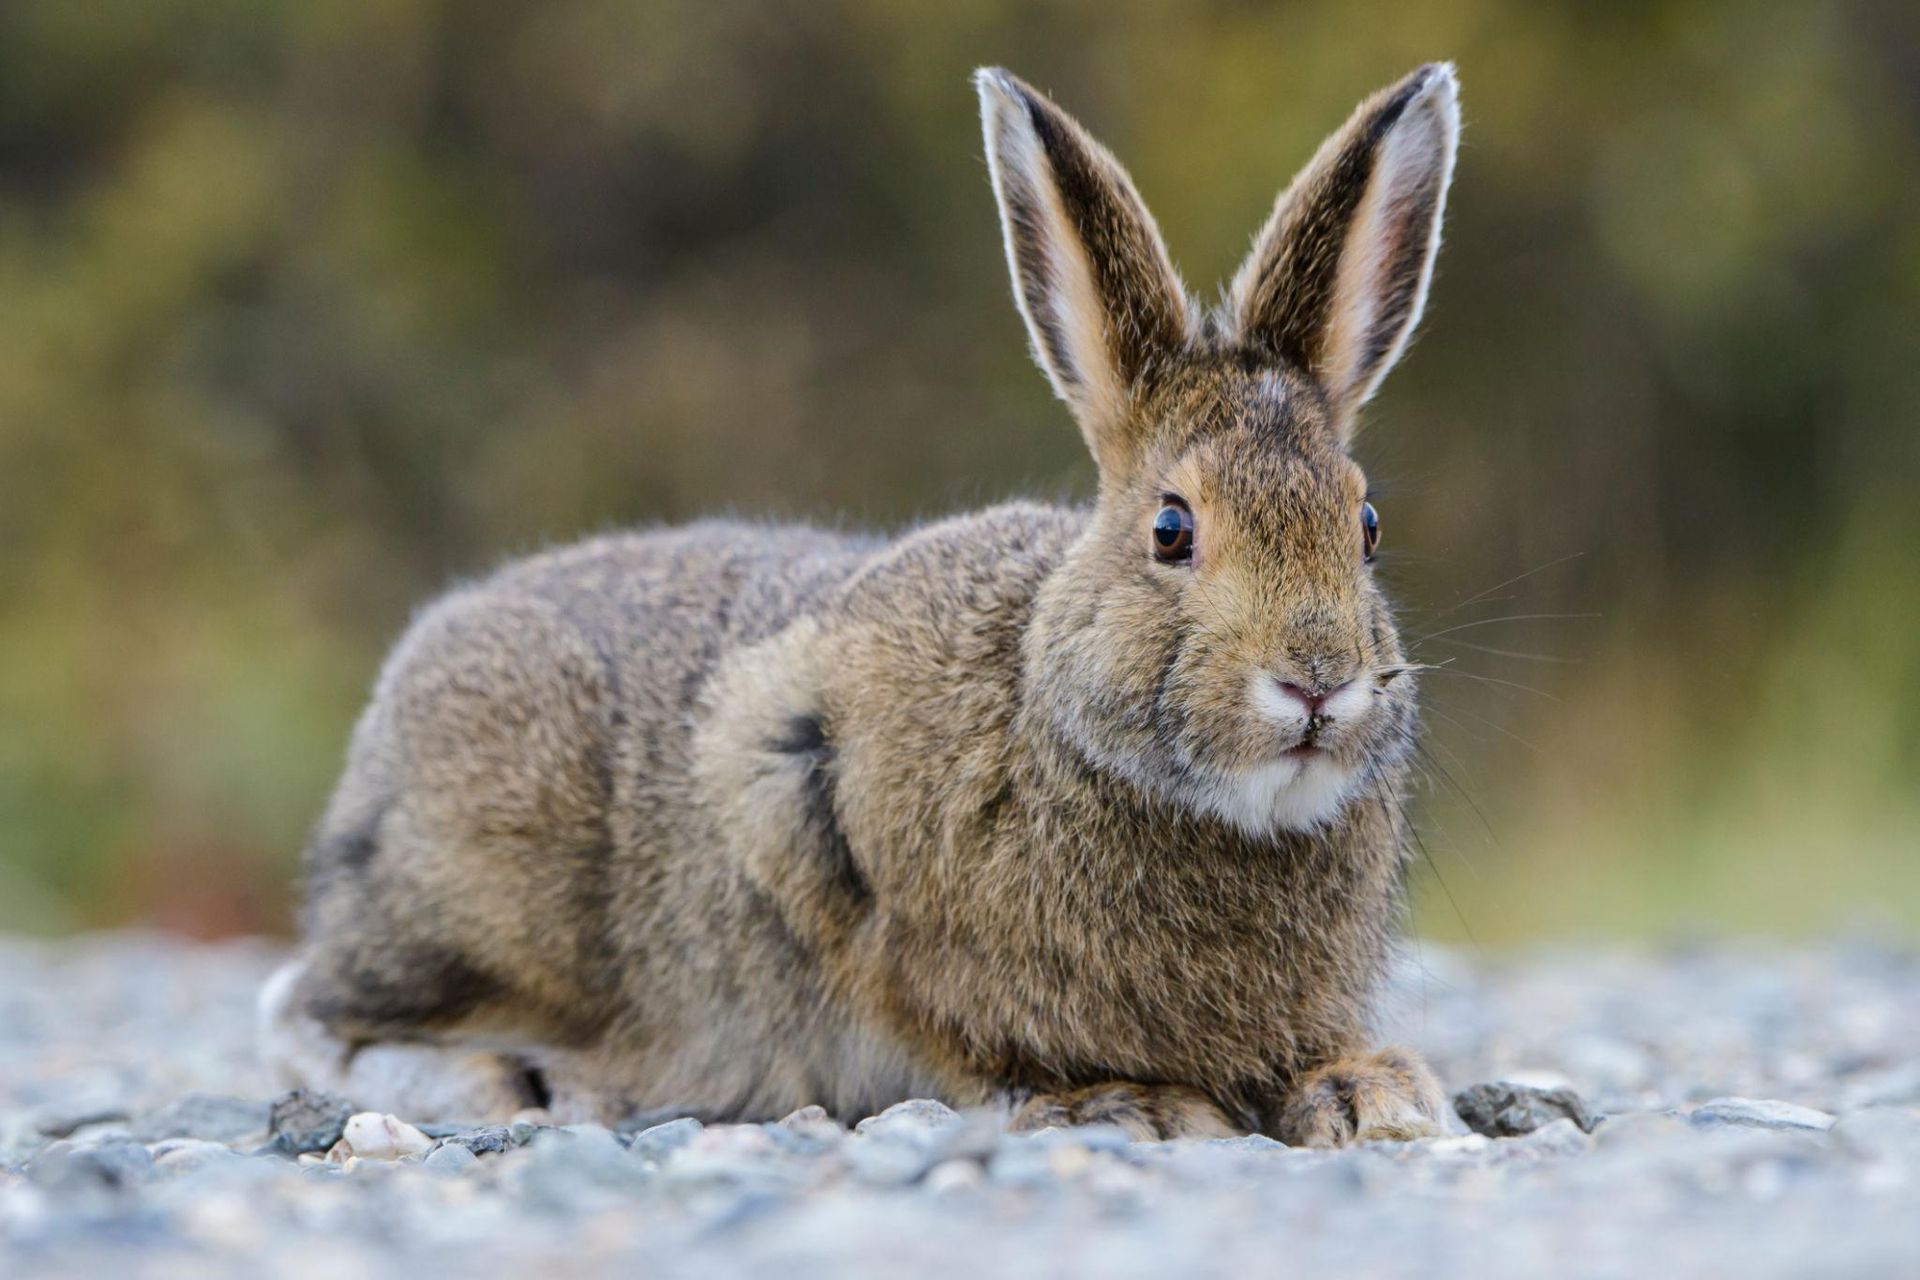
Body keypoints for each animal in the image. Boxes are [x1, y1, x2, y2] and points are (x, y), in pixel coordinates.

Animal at [260, 61, 1463, 1146]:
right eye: (1171, 530)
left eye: (1365, 527)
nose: (1318, 683)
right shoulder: (810, 819)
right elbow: (956, 1032)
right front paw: (1128, 1102)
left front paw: (1372, 1091)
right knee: (318, 1022)